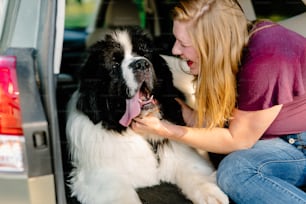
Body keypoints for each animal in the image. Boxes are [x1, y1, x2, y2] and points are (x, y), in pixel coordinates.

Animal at [65, 26, 228, 204]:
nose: (142, 64)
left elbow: (194, 171)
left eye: (145, 54)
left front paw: (212, 195)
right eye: (114, 65)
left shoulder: (183, 153)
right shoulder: (103, 176)